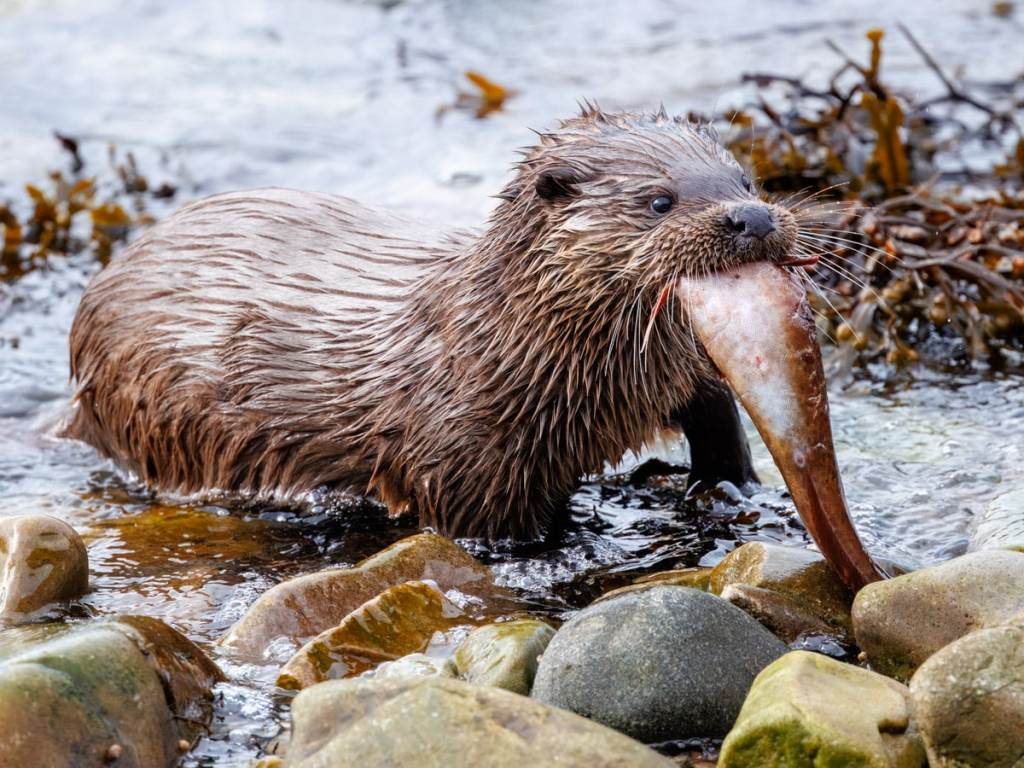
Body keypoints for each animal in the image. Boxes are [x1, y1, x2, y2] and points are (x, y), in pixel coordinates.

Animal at [65, 106, 882, 589]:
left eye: (744, 177)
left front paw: (728, 491)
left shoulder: (685, 377)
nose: (752, 217)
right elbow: (494, 523)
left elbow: (719, 424)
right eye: (658, 200)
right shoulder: (466, 461)